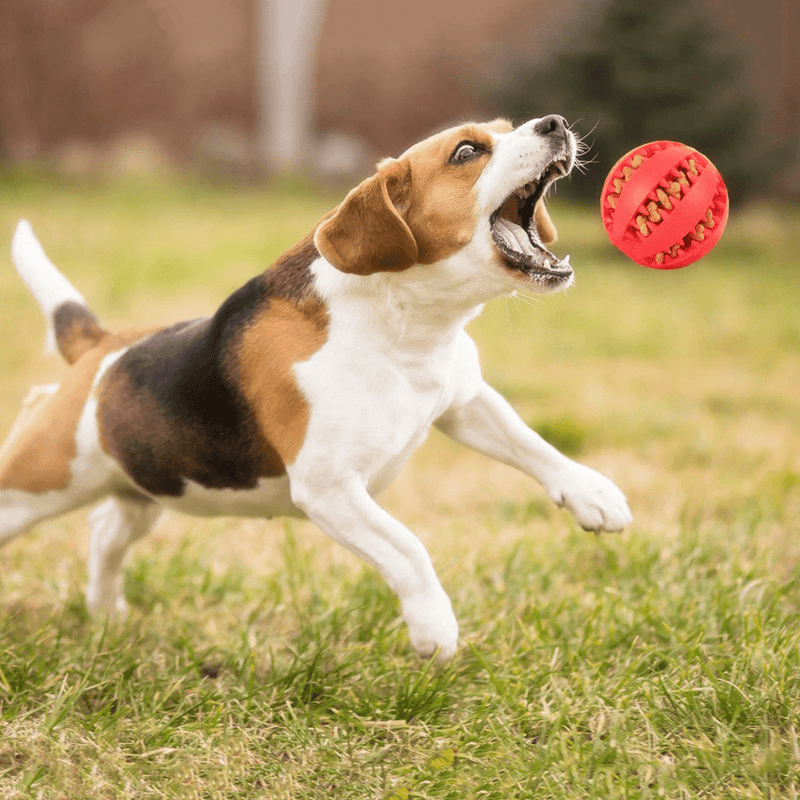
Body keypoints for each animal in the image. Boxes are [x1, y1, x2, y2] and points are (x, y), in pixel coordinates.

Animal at [3, 115, 636, 660]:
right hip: (36, 485)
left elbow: (532, 444)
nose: (554, 123)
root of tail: (100, 348)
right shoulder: (330, 488)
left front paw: (593, 494)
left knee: (105, 528)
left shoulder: (463, 401)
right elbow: (408, 548)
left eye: (508, 129)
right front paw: (434, 626)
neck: (405, 326)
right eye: (466, 152)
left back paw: (105, 612)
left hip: (150, 487)